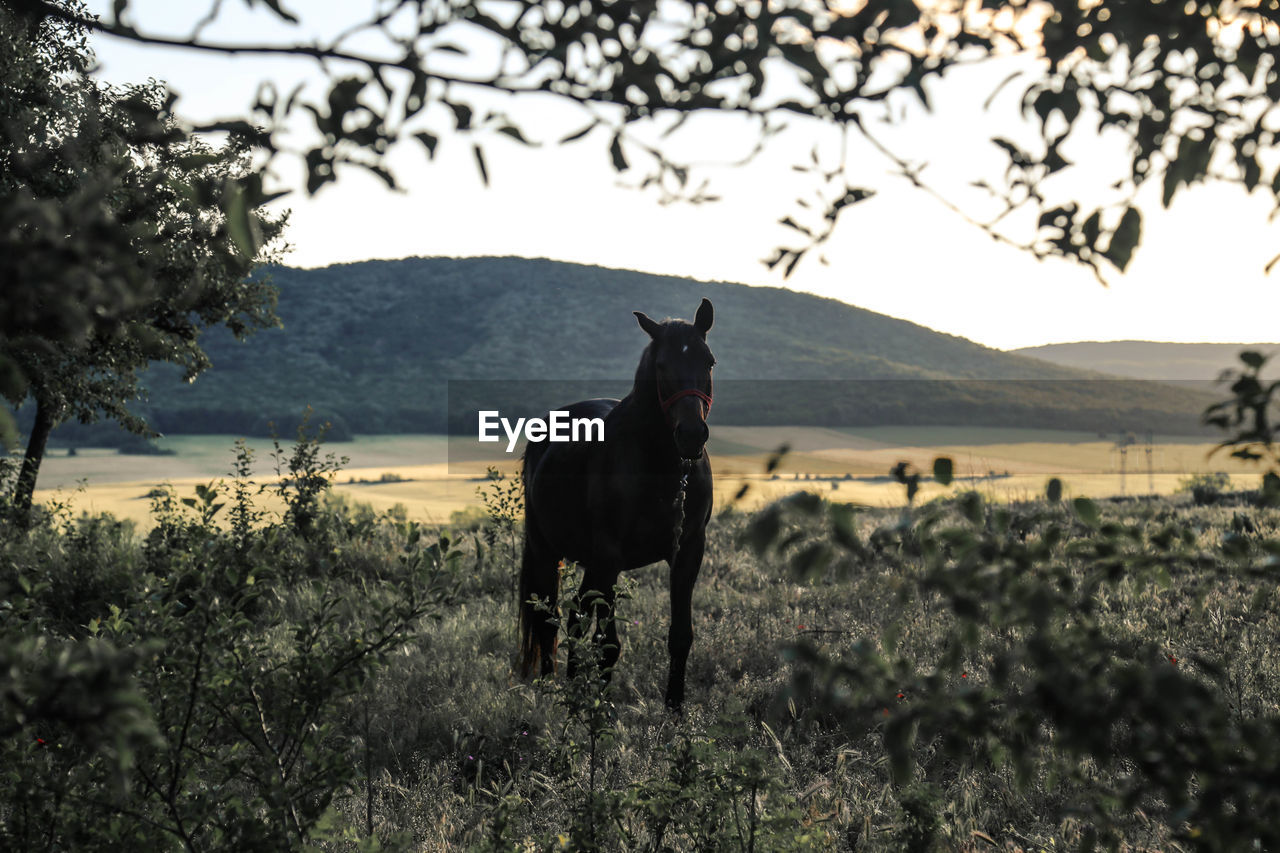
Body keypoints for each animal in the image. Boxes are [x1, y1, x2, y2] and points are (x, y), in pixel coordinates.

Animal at [522, 297, 721, 701]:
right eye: (661, 365)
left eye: (708, 361)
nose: (692, 434)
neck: (661, 468)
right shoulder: (610, 556)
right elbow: (608, 646)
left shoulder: (688, 551)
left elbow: (681, 637)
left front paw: (674, 711)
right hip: (548, 551)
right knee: (550, 620)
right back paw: (550, 695)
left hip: (591, 563)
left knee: (575, 614)